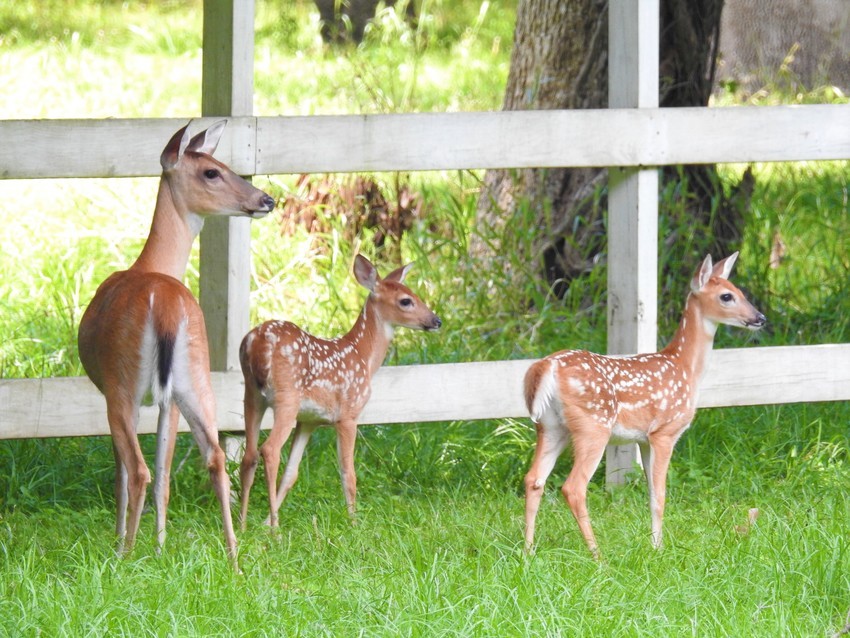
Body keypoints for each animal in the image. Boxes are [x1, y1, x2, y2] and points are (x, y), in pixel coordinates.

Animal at [78, 121, 274, 564]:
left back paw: (124, 557)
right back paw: (234, 557)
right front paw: (161, 545)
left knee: (137, 469)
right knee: (214, 456)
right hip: (195, 377)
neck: (152, 266)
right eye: (213, 171)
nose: (266, 199)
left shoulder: (114, 391)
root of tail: (166, 306)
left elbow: (126, 469)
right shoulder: (168, 400)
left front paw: (128, 540)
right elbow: (166, 470)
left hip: (123, 381)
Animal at [237, 255, 440, 528]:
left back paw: (242, 525)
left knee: (249, 455)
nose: (436, 321)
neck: (363, 356)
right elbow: (348, 473)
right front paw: (354, 523)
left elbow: (292, 473)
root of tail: (257, 343)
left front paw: (264, 522)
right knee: (269, 450)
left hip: (251, 395)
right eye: (406, 301)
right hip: (286, 397)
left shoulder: (309, 421)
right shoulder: (348, 414)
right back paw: (276, 531)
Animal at [520, 255, 764, 560]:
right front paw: (659, 548)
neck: (685, 368)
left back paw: (528, 551)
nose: (760, 318)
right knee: (574, 487)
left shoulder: (643, 439)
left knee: (533, 479)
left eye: (740, 291)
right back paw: (597, 555)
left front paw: (654, 544)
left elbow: (650, 494)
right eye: (727, 296)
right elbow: (661, 495)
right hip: (593, 426)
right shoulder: (665, 432)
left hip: (550, 427)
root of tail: (546, 366)